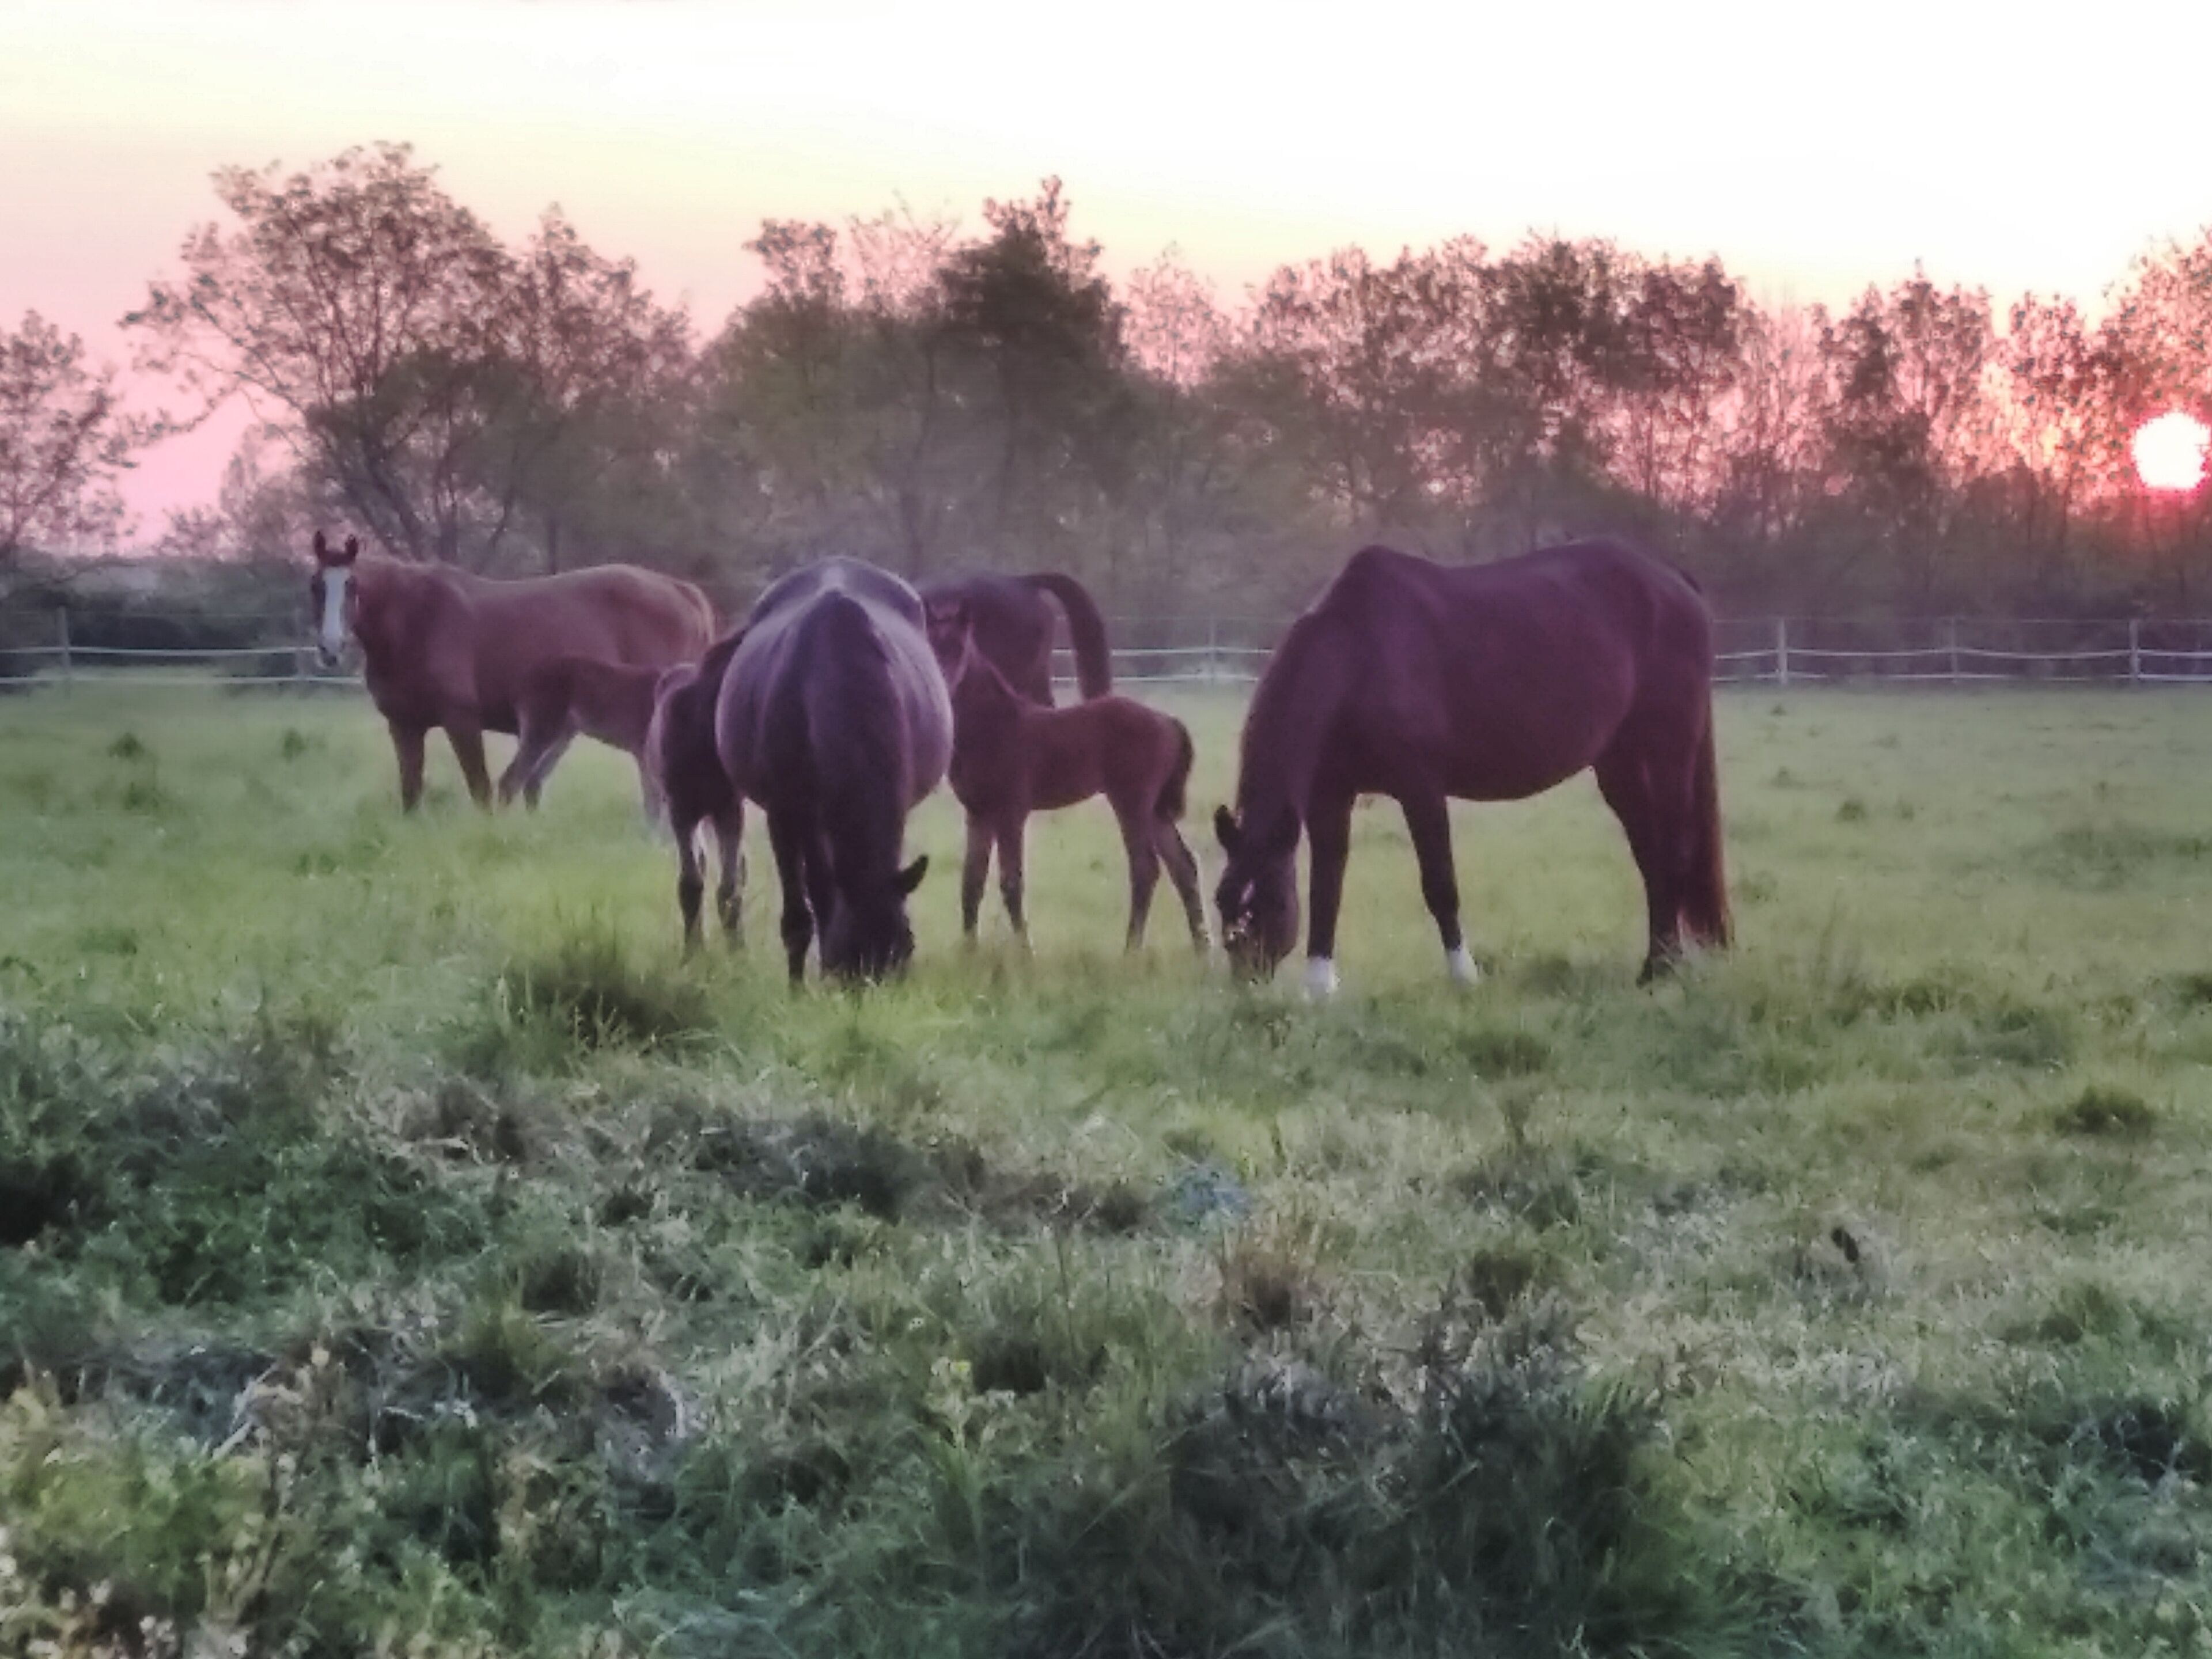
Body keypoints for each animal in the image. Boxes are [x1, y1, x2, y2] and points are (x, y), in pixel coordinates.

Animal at [496, 655, 667, 821]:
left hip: (561, 737)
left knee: (533, 780)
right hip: (543, 727)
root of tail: (523, 682)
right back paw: (507, 826)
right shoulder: (645, 752)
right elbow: (654, 801)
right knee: (511, 780)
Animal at [645, 629, 749, 952]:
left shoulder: (729, 808)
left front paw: (737, 952)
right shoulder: (681, 809)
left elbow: (730, 887)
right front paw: (693, 952)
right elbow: (690, 884)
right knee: (702, 863)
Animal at [928, 601, 1209, 955]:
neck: (996, 726)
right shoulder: (978, 814)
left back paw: (1130, 950)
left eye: (959, 646)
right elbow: (971, 882)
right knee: (1183, 867)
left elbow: (1011, 882)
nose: (942, 685)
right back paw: (1202, 948)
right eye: (929, 643)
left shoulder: (1011, 812)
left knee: (1146, 868)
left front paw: (1026, 954)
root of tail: (1168, 721)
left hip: (1131, 801)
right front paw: (968, 952)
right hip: (1156, 809)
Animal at [1212, 540, 1729, 995]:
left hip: (1668, 749)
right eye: (1222, 900)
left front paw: (1464, 977)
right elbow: (1327, 887)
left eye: (1272, 901)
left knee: (1674, 851)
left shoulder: (1421, 788)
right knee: (1650, 856)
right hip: (1619, 762)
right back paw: (1660, 965)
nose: (1246, 982)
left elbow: (1440, 884)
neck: (1359, 655)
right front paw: (1320, 988)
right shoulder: (1329, 796)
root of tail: (1673, 580)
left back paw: (1661, 970)